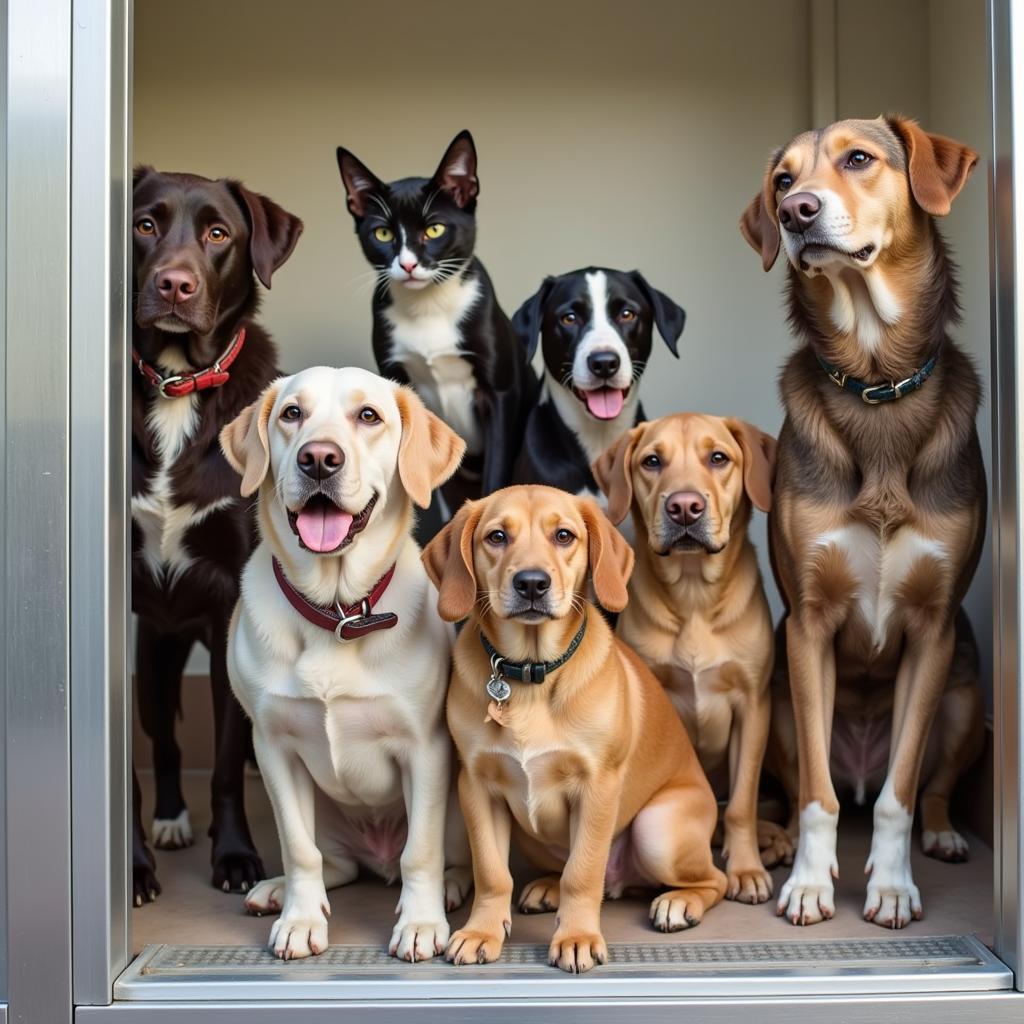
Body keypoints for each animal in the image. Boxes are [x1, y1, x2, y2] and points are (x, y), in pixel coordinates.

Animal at [339, 134, 540, 520]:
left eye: (435, 229)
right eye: (382, 233)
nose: (408, 264)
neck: (428, 308)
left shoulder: (500, 393)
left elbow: (495, 476)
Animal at [423, 483, 729, 970]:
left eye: (564, 535)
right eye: (496, 537)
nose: (531, 583)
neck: (531, 673)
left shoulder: (597, 786)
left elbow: (582, 873)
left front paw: (578, 936)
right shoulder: (477, 787)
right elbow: (492, 872)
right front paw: (482, 930)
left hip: (657, 830)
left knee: (715, 879)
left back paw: (679, 902)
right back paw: (547, 888)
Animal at [593, 411, 790, 901]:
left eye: (718, 457)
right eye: (652, 461)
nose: (684, 507)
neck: (694, 595)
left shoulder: (753, 705)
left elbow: (740, 805)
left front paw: (746, 868)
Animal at [741, 117, 987, 929]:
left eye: (859, 159)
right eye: (782, 180)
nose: (797, 214)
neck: (876, 382)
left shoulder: (933, 630)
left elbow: (898, 796)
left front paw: (892, 885)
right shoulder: (809, 627)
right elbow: (816, 797)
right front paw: (812, 884)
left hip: (966, 694)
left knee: (924, 789)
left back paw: (944, 835)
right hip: (782, 703)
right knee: (812, 785)